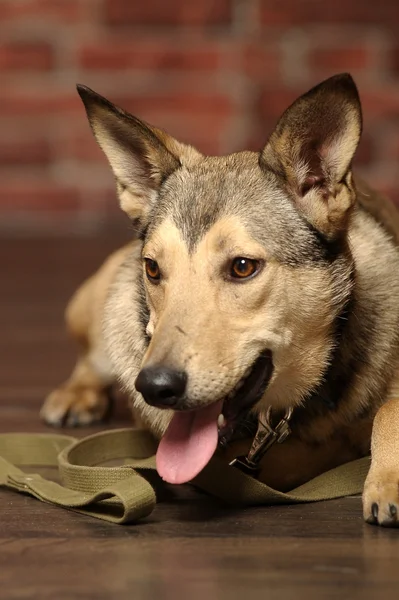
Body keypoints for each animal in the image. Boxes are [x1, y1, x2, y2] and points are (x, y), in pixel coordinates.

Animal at [39, 74, 399, 524]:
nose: (154, 387)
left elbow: (388, 411)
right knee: (90, 357)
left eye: (243, 267)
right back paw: (76, 395)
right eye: (153, 268)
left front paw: (383, 483)